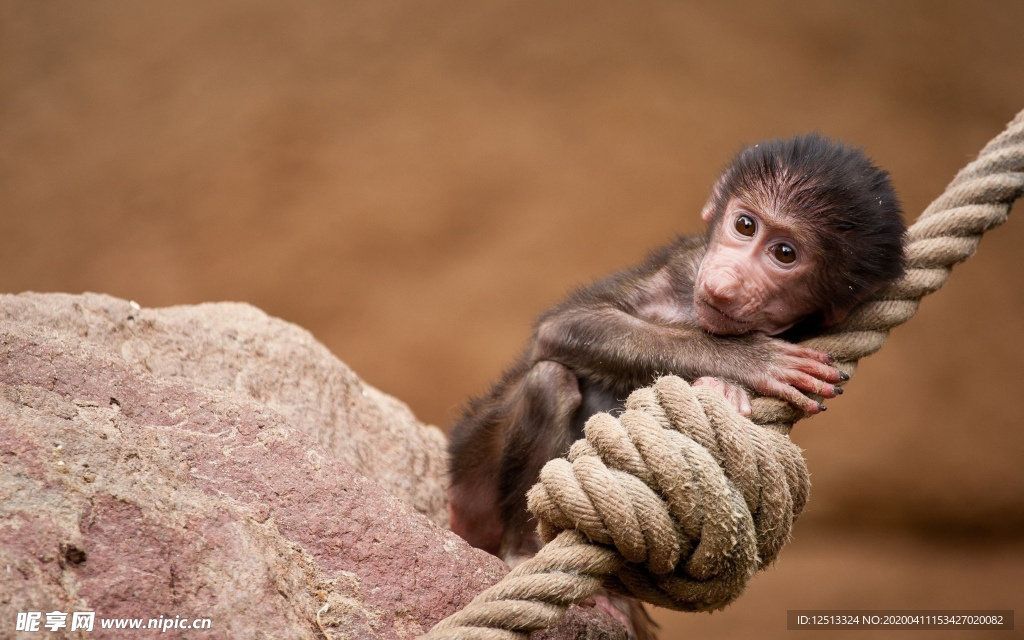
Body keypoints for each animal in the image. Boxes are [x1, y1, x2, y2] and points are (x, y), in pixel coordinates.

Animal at [448, 133, 905, 630]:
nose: (725, 284)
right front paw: (747, 362)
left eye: (785, 253)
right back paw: (523, 550)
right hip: (475, 472)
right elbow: (566, 325)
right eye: (745, 225)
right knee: (549, 381)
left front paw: (724, 383)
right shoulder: (685, 265)